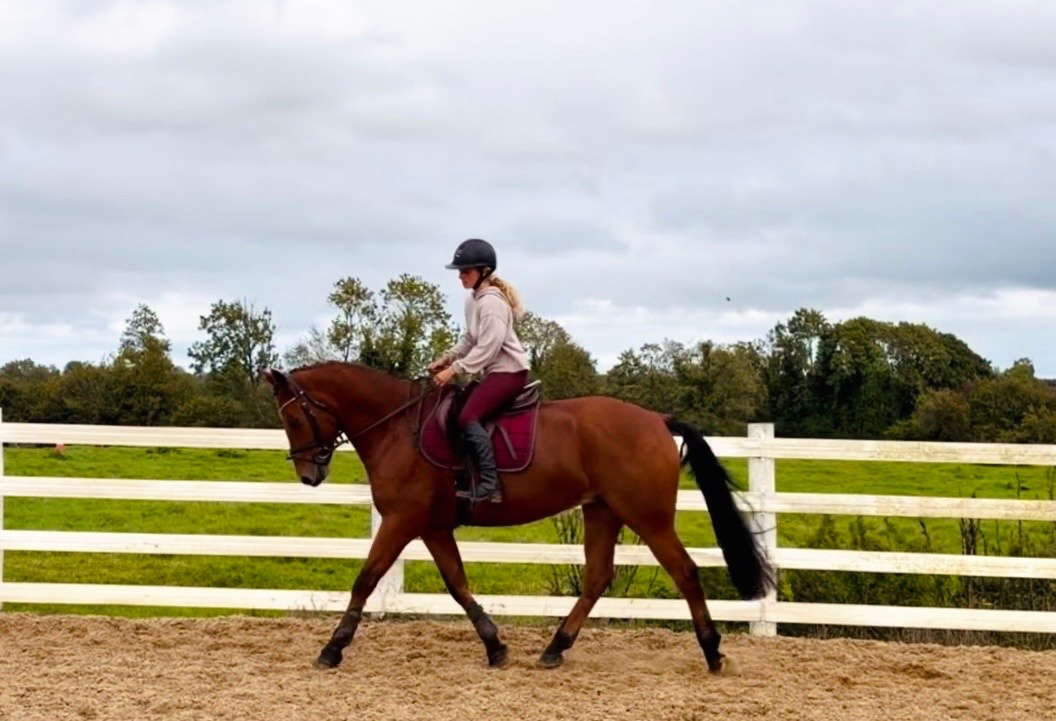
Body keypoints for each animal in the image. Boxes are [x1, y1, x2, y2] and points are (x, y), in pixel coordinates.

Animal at [259, 360, 774, 673]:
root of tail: (655, 419)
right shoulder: (433, 528)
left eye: (294, 419)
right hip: (602, 512)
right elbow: (458, 585)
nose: (309, 474)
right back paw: (555, 648)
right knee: (597, 577)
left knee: (684, 572)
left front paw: (332, 648)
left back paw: (712, 651)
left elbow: (365, 580)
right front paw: (495, 646)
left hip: (647, 517)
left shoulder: (402, 522)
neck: (397, 428)